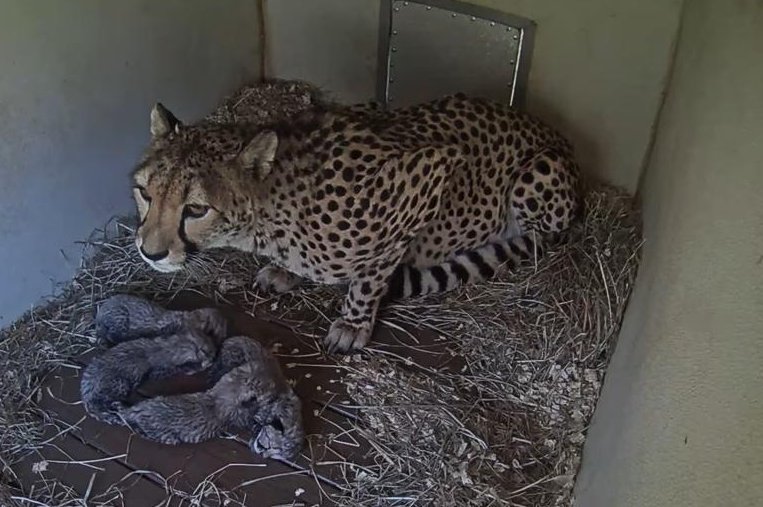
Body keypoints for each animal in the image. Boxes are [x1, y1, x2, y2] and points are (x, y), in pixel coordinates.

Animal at [131, 93, 581, 353]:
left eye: (195, 209)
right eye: (144, 193)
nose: (150, 253)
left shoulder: (429, 174)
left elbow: (369, 278)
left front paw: (353, 322)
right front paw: (284, 271)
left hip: (537, 174)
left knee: (541, 238)